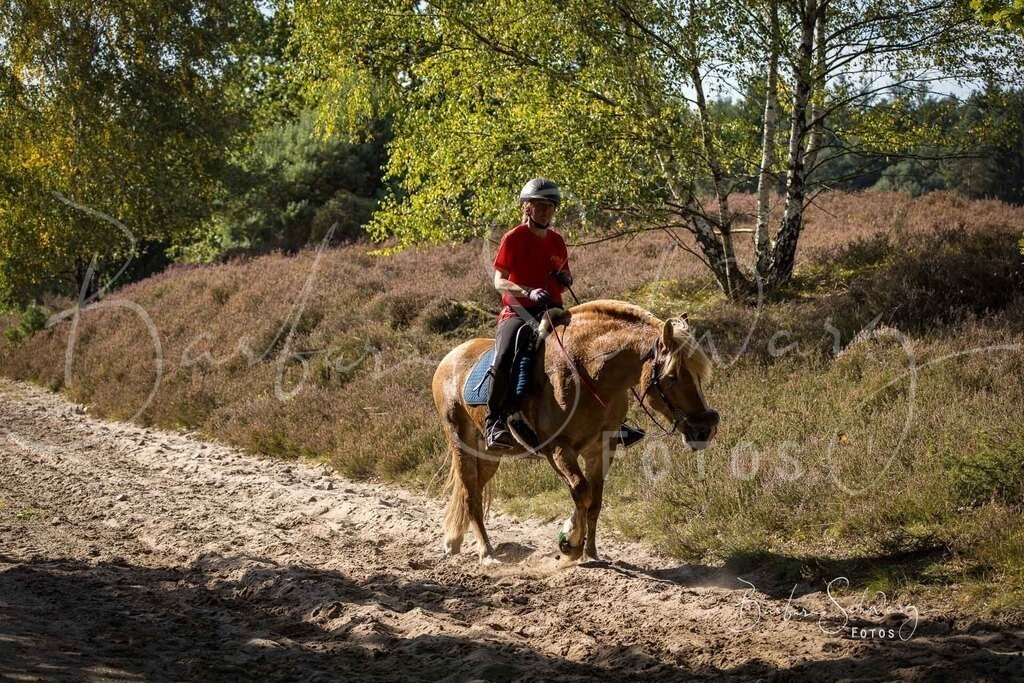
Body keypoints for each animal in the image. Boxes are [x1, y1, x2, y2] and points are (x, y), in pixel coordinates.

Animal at [431, 299, 720, 563]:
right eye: (672, 377)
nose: (705, 429)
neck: (587, 375)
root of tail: (449, 358)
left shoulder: (602, 449)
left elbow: (595, 499)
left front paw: (589, 550)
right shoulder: (558, 449)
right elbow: (581, 490)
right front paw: (570, 543)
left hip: (490, 456)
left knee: (472, 491)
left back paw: (454, 542)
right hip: (462, 445)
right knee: (471, 496)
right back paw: (486, 552)